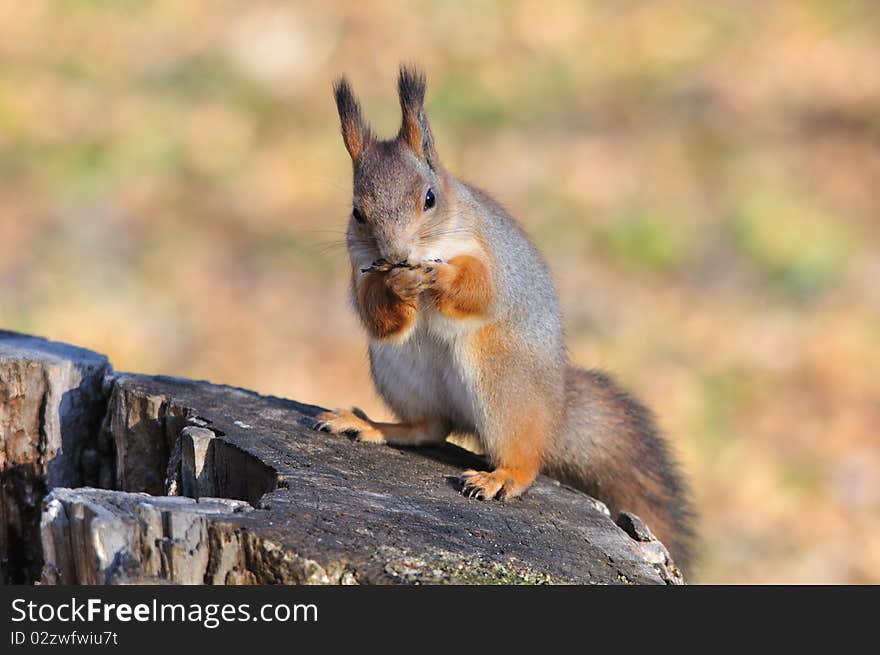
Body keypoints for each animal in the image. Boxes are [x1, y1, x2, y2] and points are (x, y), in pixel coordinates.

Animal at [316, 65, 696, 568]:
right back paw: (371, 425)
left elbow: (481, 292)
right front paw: (396, 287)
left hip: (500, 375)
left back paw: (502, 477)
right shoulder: (360, 271)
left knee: (524, 458)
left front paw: (438, 278)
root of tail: (554, 410)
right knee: (429, 428)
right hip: (401, 373)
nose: (396, 255)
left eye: (430, 198)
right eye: (358, 213)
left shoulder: (491, 256)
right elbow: (380, 317)